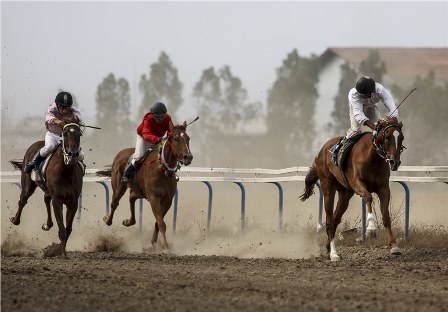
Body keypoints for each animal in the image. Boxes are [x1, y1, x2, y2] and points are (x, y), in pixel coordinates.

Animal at [9, 116, 85, 258]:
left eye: (79, 134)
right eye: (65, 134)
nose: (72, 155)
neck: (66, 172)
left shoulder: (73, 202)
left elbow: (68, 229)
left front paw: (60, 250)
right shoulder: (58, 200)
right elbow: (62, 229)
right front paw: (63, 254)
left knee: (45, 199)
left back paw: (47, 225)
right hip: (28, 185)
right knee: (23, 200)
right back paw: (15, 220)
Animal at [98, 122, 192, 251]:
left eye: (188, 138)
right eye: (176, 139)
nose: (188, 157)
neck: (162, 169)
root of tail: (120, 153)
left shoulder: (168, 201)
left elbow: (158, 222)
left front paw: (154, 242)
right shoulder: (154, 198)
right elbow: (161, 223)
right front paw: (165, 246)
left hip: (138, 190)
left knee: (131, 197)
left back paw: (128, 221)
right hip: (118, 187)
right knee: (114, 203)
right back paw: (107, 220)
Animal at [300, 117, 406, 260]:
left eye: (401, 137)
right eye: (387, 137)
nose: (395, 162)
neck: (372, 157)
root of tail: (321, 152)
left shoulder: (384, 188)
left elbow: (386, 216)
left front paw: (394, 245)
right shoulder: (357, 183)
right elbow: (368, 197)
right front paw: (371, 228)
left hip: (345, 193)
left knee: (335, 218)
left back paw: (328, 247)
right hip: (328, 187)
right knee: (329, 221)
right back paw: (334, 253)